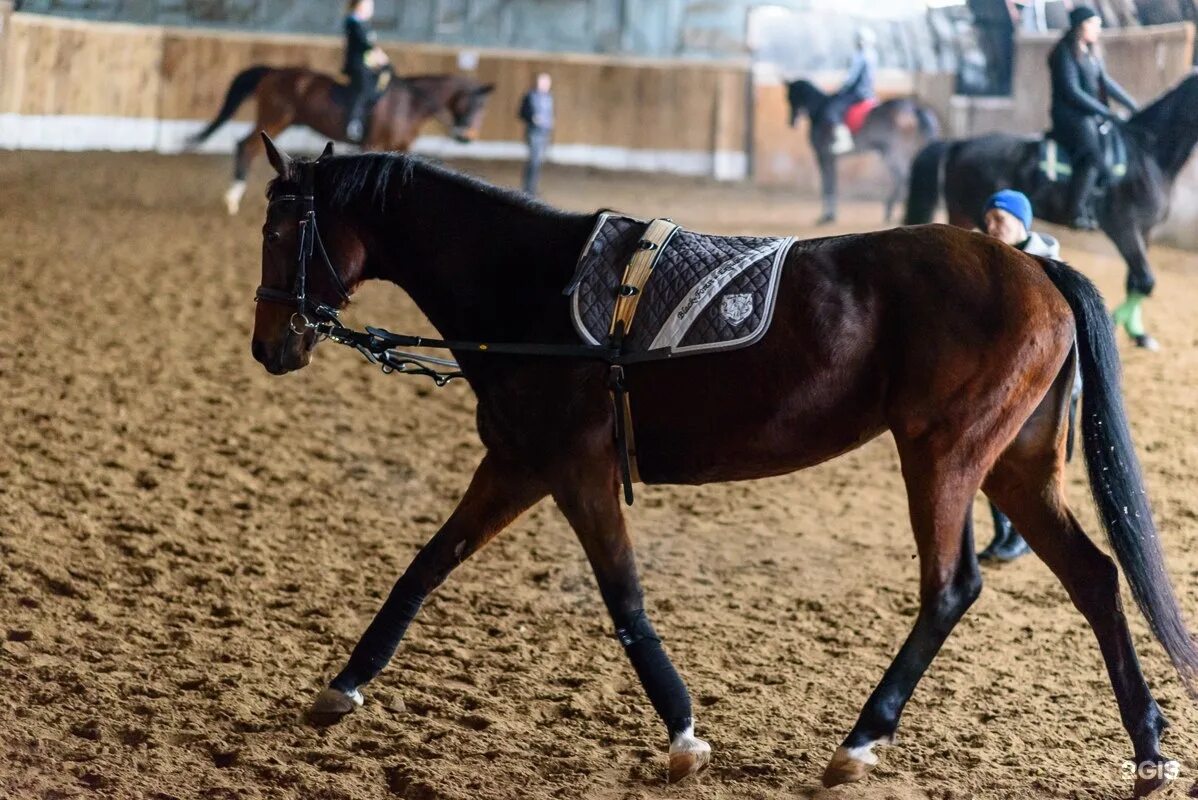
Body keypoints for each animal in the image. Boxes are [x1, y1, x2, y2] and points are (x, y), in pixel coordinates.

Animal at [184, 65, 493, 214]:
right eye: (476, 105)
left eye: (483, 108)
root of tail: (274, 71)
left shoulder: (401, 149)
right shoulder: (372, 144)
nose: (468, 137)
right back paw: (232, 199)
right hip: (275, 119)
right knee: (246, 147)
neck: (409, 104)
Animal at [247, 134, 1193, 795]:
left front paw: (683, 736)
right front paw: (341, 689)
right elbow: (424, 567)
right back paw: (1147, 750)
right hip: (1017, 468)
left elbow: (623, 596)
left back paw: (861, 742)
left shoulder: (577, 470)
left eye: (284, 230)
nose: (270, 345)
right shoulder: (517, 463)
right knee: (1095, 576)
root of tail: (1031, 265)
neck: (535, 291)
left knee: (952, 586)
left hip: (946, 454)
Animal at [785, 78, 944, 225]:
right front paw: (830, 215)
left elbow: (828, 184)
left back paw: (893, 212)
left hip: (893, 153)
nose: (792, 122)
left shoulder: (824, 156)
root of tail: (914, 109)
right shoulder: (830, 158)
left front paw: (828, 217)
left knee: (903, 177)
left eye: (791, 97)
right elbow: (830, 182)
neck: (819, 110)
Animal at [900, 74, 1198, 349]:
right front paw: (1113, 324)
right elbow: (1146, 280)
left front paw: (1140, 335)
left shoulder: (1144, 231)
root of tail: (959, 144)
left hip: (961, 213)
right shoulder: (1124, 228)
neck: (1147, 156)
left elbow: (1135, 281)